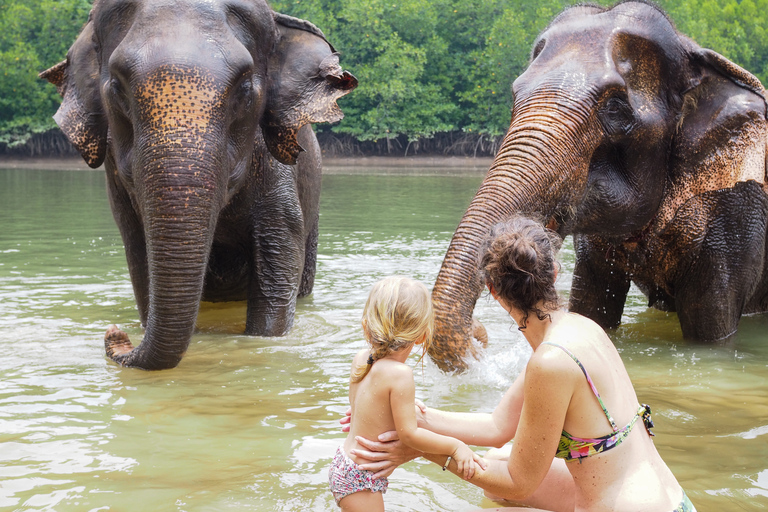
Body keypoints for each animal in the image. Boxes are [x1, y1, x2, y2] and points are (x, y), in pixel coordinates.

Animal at [39, 0, 356, 368]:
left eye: (245, 88)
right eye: (117, 86)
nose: (114, 335)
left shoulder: (275, 170)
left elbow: (280, 254)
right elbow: (140, 259)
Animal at [428, 1, 764, 372]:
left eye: (615, 109)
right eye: (515, 95)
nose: (478, 332)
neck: (694, 53)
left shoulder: (732, 219)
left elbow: (711, 332)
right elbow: (593, 311)